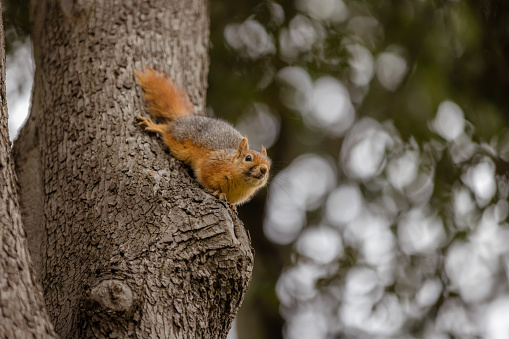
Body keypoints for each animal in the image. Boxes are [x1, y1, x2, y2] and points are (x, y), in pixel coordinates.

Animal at [135, 68, 270, 209]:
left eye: (269, 165)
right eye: (248, 158)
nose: (264, 169)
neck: (240, 183)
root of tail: (185, 118)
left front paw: (232, 206)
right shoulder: (210, 163)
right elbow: (205, 178)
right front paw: (218, 192)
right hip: (180, 138)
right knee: (167, 129)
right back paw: (154, 125)